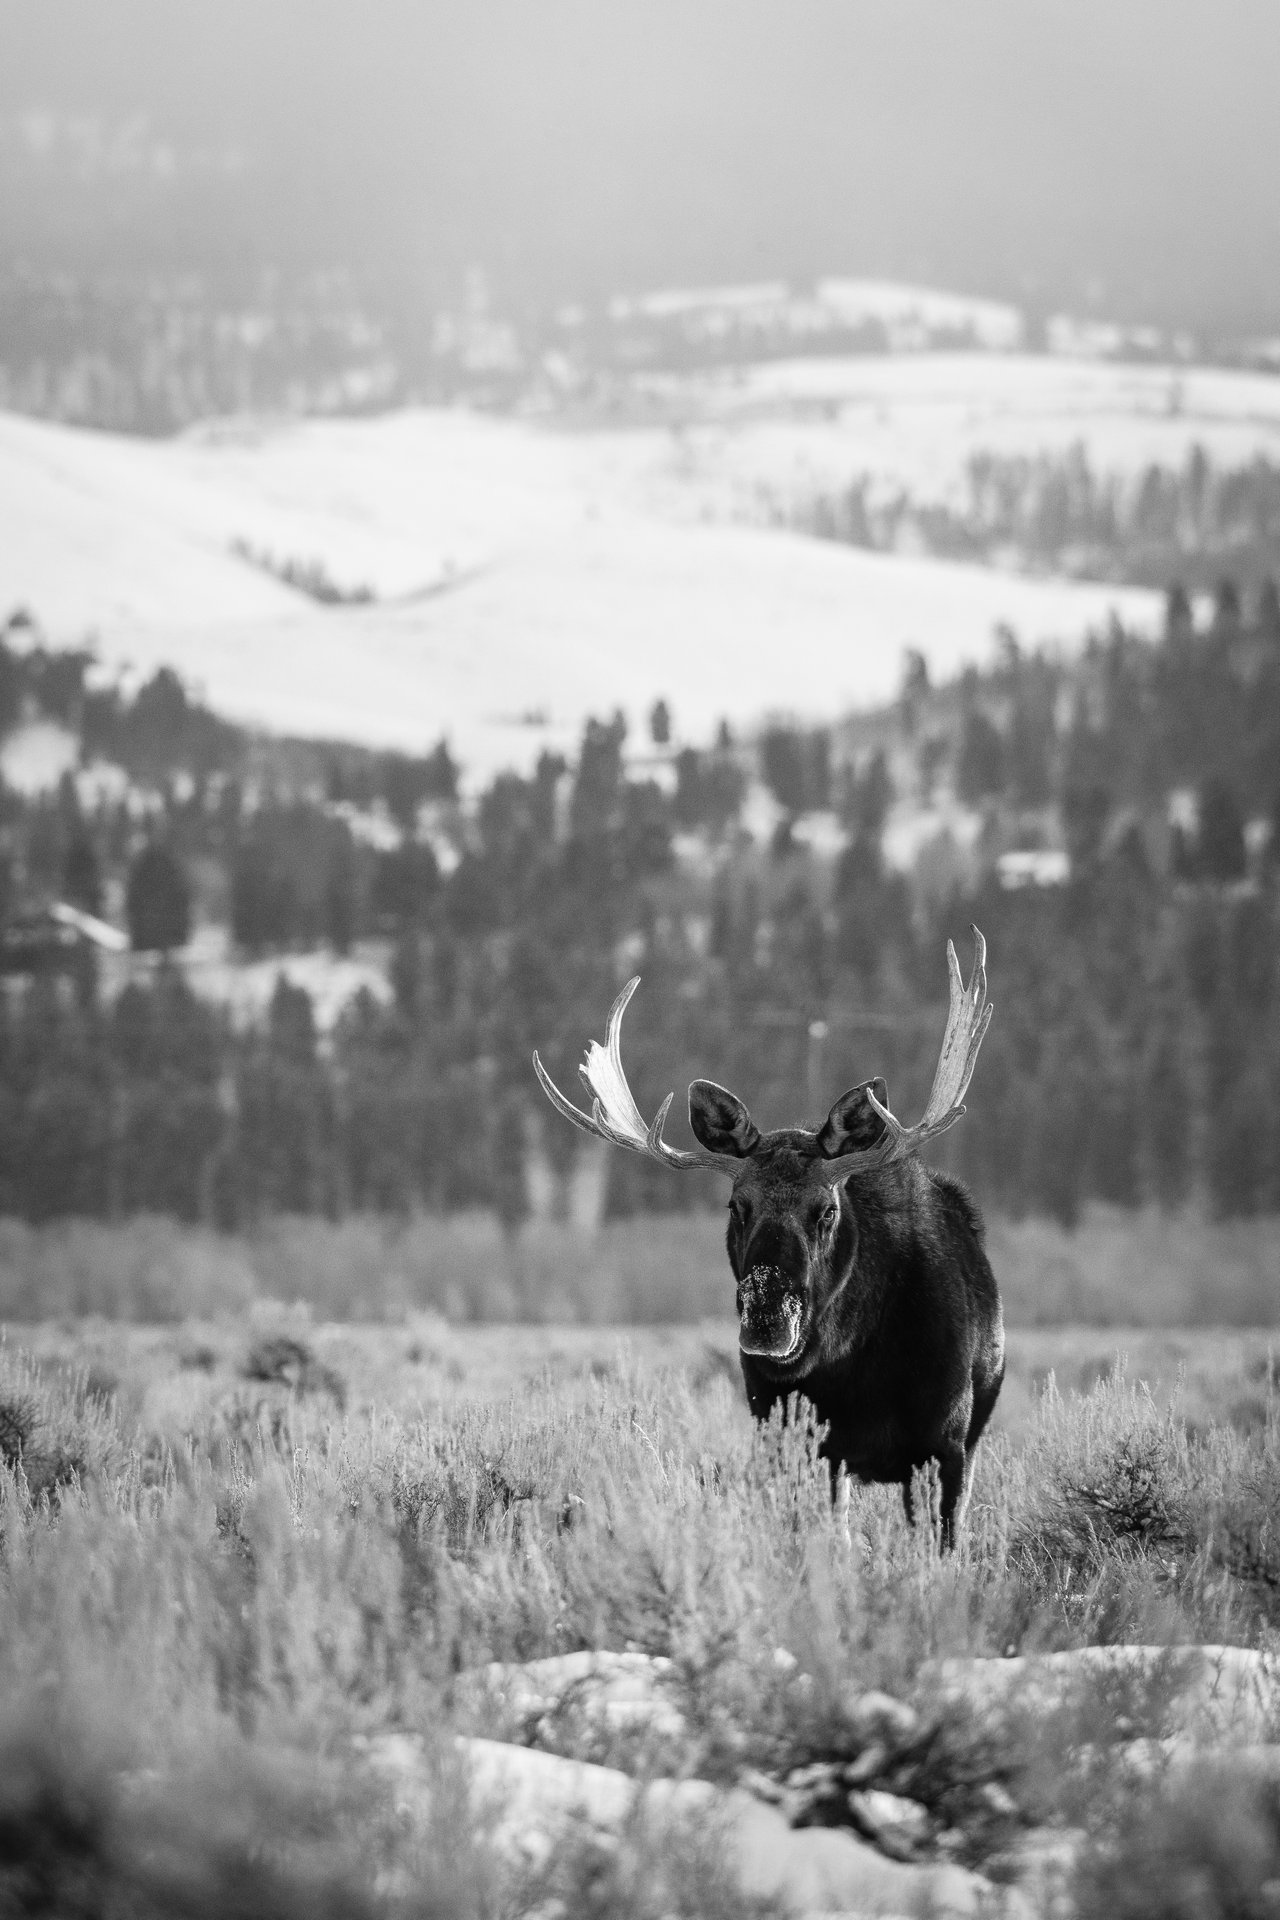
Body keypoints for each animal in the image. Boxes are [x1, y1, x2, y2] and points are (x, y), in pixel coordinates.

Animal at [534, 929, 1002, 1546]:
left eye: (826, 1210)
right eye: (737, 1205)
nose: (767, 1316)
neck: (855, 1366)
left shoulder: (946, 1442)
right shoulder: (797, 1439)